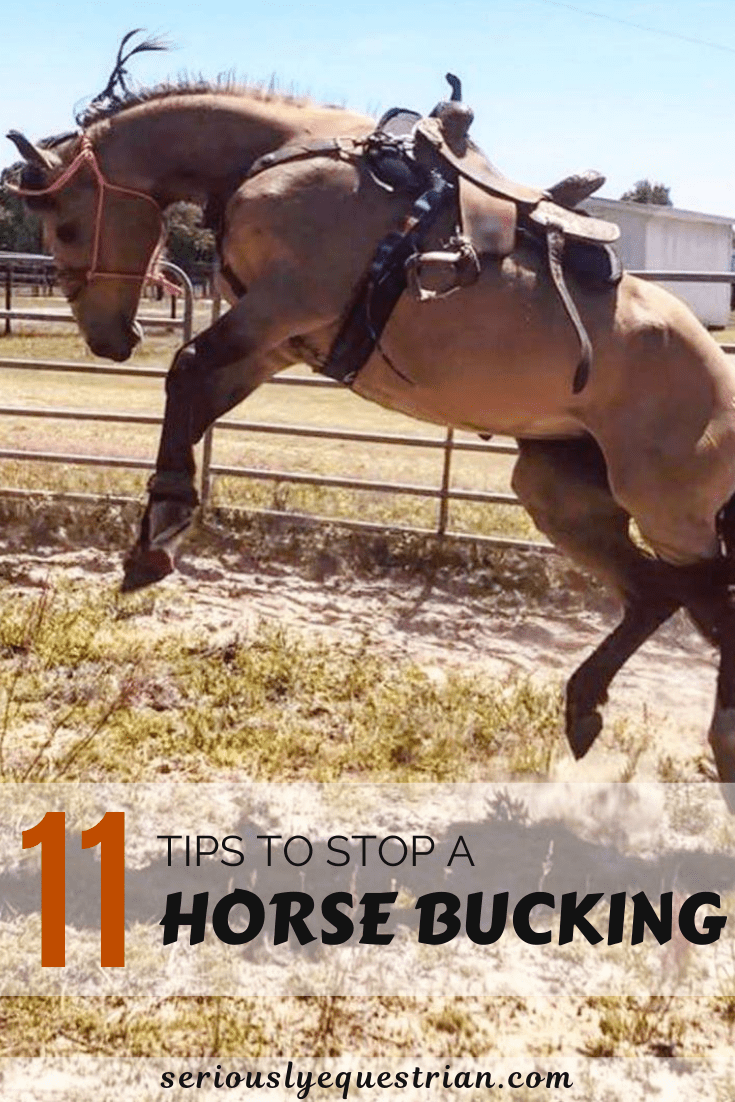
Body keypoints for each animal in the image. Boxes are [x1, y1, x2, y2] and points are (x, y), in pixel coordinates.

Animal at [6, 72, 735, 801]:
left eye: (67, 225)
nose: (110, 339)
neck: (281, 152)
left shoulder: (284, 303)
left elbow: (185, 373)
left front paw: (160, 528)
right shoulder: (279, 340)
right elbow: (199, 395)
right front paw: (157, 535)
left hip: (668, 511)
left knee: (705, 599)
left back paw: (714, 741)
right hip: (561, 493)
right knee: (654, 595)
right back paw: (584, 708)